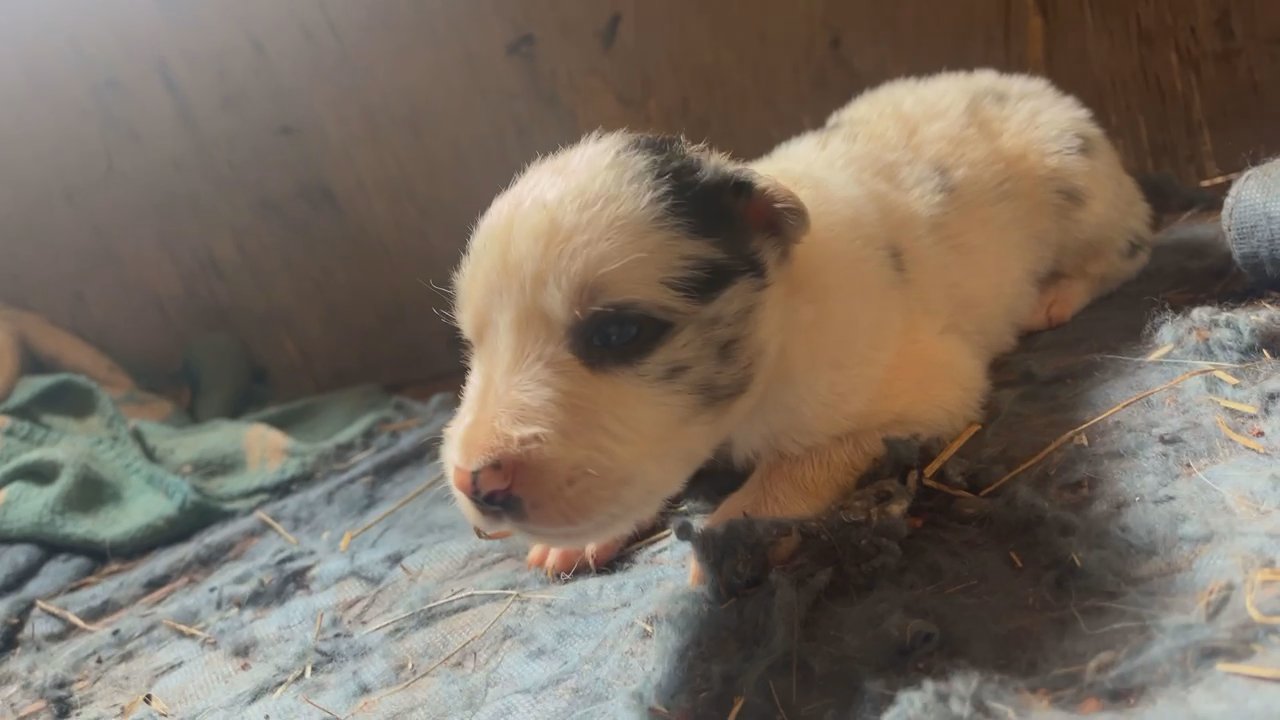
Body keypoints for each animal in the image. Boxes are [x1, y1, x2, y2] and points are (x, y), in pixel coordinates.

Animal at [440, 67, 1152, 579]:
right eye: (474, 344)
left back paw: (1055, 296)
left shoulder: (912, 392)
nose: (475, 482)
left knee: (1128, 250)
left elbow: (800, 462)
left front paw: (734, 534)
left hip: (1082, 189)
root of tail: (1037, 86)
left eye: (617, 333)